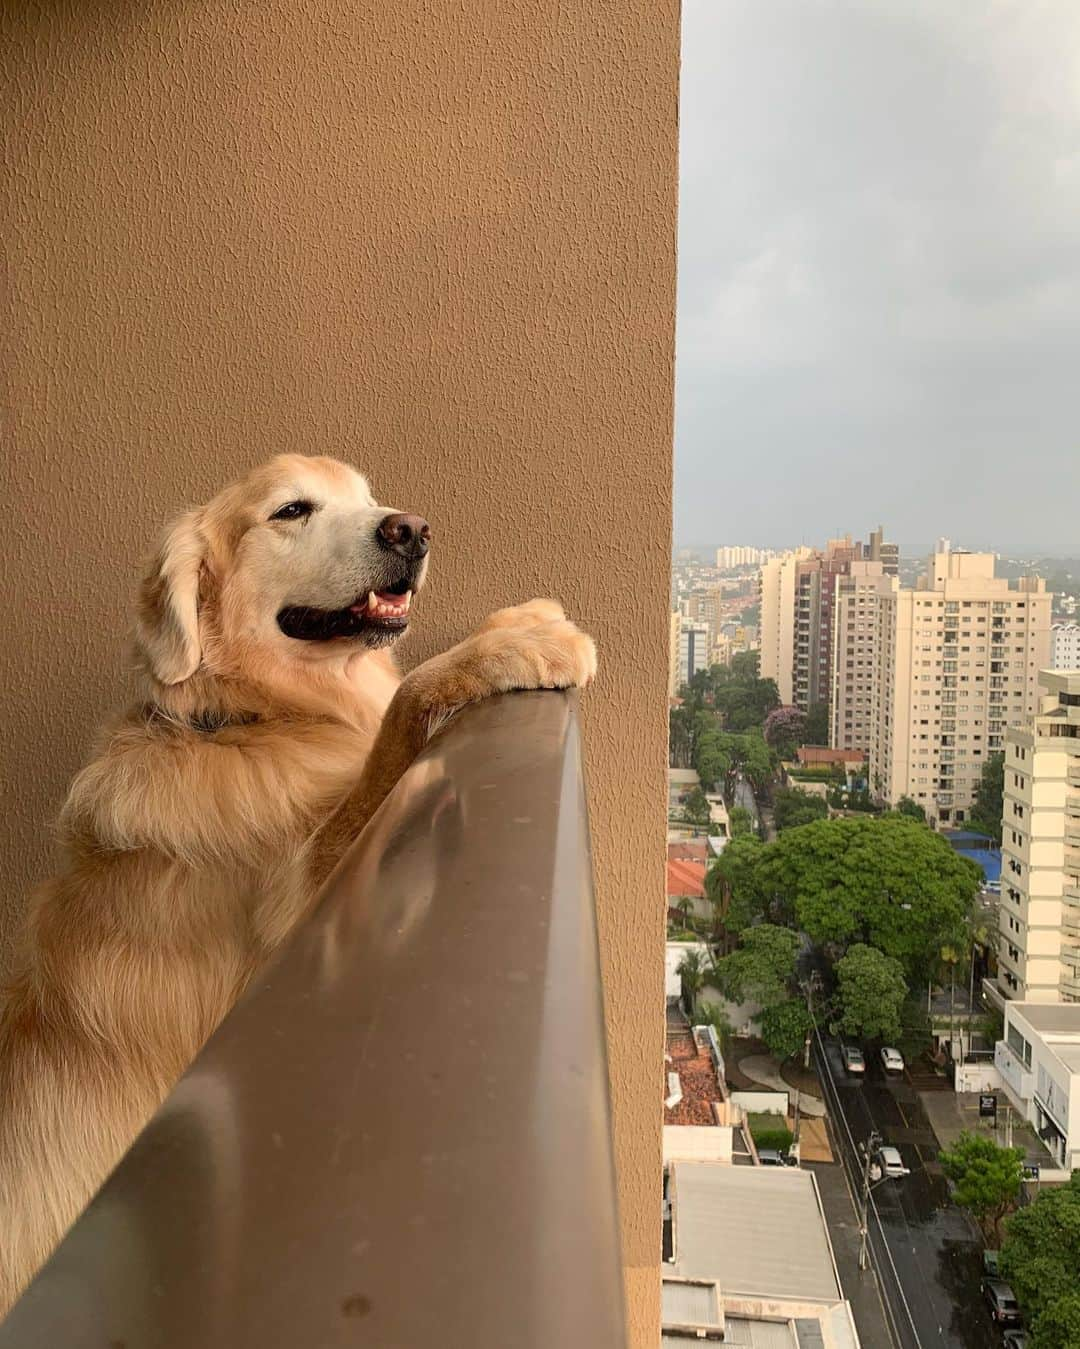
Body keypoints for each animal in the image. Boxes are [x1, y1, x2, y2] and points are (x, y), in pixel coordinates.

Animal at [0, 450, 593, 1305]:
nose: (411, 528)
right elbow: (401, 709)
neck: (250, 720)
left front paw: (517, 617)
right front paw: (515, 644)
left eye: (368, 498)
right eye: (291, 511)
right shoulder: (296, 914)